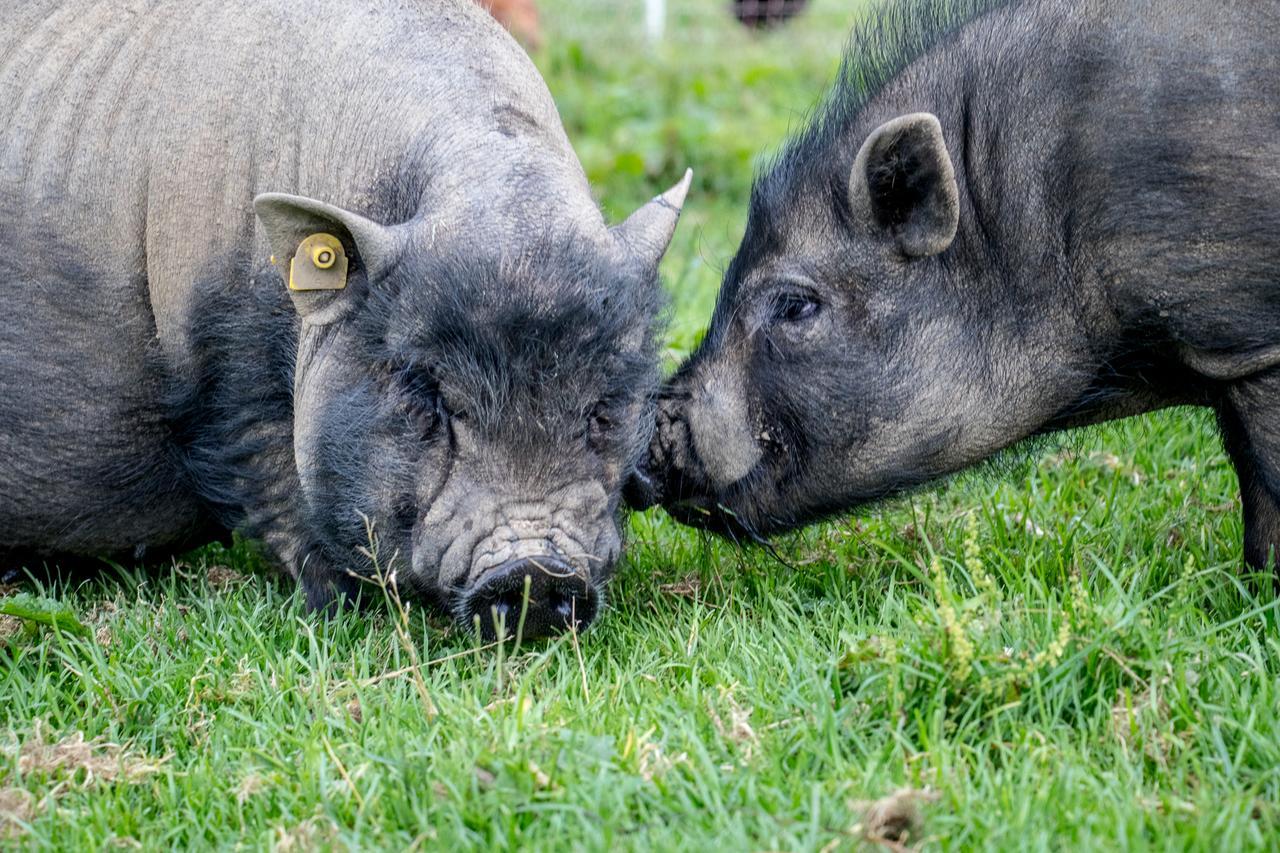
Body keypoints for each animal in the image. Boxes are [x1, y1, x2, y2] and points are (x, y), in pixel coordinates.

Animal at [0, 0, 696, 637]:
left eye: (604, 407)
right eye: (427, 394)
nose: (535, 573)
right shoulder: (224, 366)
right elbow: (273, 479)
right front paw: (342, 610)